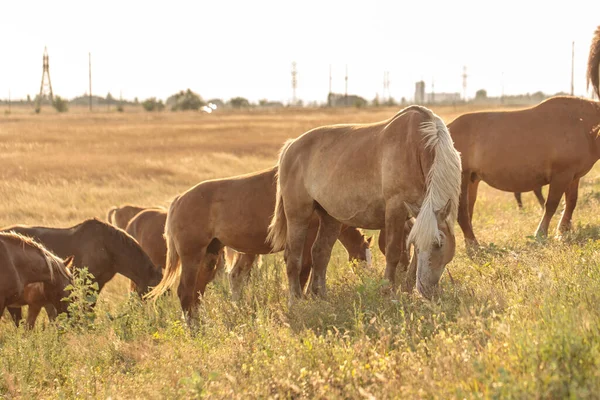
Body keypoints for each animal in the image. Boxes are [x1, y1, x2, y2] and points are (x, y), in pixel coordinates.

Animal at [146, 164, 372, 320]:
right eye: (362, 259)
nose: (366, 281)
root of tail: (178, 200)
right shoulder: (306, 240)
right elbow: (303, 271)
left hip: (209, 256)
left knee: (196, 294)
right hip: (192, 256)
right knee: (185, 293)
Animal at [270, 104, 462, 302]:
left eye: (439, 244)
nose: (425, 289)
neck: (415, 146)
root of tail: (291, 146)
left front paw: (408, 290)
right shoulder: (395, 208)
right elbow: (393, 252)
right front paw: (388, 291)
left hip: (330, 218)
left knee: (320, 253)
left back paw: (321, 296)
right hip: (298, 216)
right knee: (293, 257)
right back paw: (295, 300)